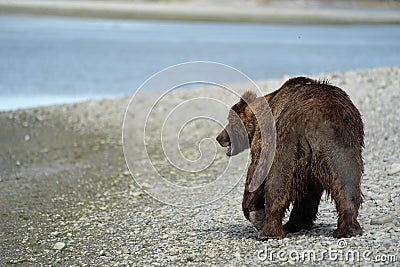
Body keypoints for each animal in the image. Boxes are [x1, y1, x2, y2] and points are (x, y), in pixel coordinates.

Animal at [217, 76, 364, 240]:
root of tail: (313, 120)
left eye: (230, 121)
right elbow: (309, 191)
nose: (219, 137)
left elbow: (256, 171)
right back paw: (348, 228)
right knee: (346, 181)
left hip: (287, 144)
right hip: (339, 142)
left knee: (277, 181)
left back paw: (270, 230)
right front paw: (300, 222)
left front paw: (254, 212)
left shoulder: (264, 137)